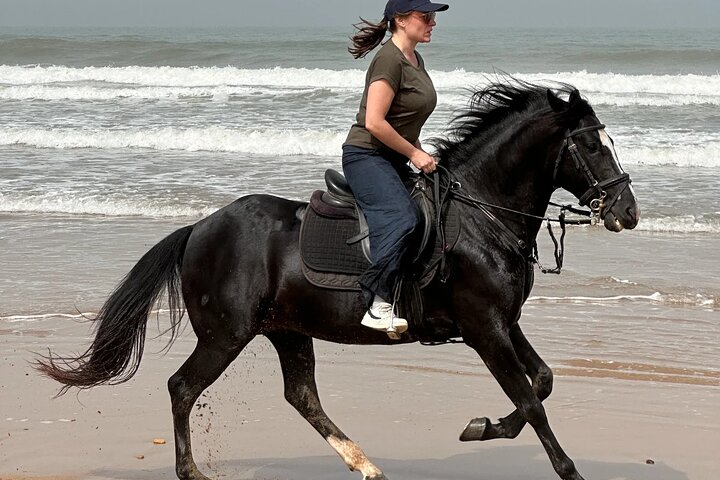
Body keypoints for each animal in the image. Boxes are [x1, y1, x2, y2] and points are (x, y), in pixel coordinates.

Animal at [37, 80, 640, 480]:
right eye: (591, 145)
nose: (628, 213)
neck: (481, 215)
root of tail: (199, 228)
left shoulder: (503, 323)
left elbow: (542, 381)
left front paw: (482, 427)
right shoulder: (484, 328)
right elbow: (532, 399)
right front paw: (567, 469)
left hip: (286, 331)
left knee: (301, 396)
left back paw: (365, 463)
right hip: (226, 334)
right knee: (183, 388)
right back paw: (193, 473)